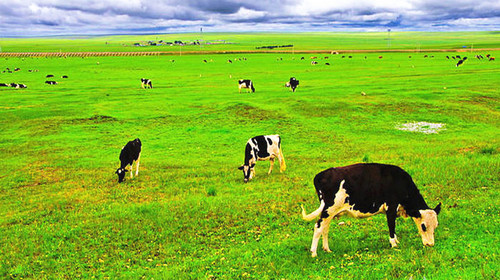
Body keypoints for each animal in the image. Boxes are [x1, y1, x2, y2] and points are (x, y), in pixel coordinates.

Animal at [300, 163, 442, 258]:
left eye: (436, 226)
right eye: (423, 226)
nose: (430, 244)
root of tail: (321, 174)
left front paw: (396, 241)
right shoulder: (391, 207)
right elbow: (391, 226)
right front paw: (394, 244)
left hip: (330, 212)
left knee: (325, 228)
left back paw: (327, 249)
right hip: (329, 209)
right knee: (318, 227)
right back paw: (314, 253)